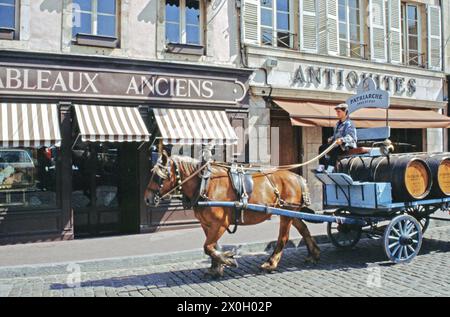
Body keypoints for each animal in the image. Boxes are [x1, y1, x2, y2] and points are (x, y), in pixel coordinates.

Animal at [144, 153, 320, 276]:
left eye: (159, 176)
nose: (147, 198)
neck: (205, 184)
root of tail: (296, 176)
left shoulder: (221, 223)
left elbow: (208, 247)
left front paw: (227, 259)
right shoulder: (206, 224)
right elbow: (212, 246)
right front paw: (216, 267)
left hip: (286, 213)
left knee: (283, 237)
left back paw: (271, 263)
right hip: (290, 211)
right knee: (303, 228)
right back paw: (313, 253)